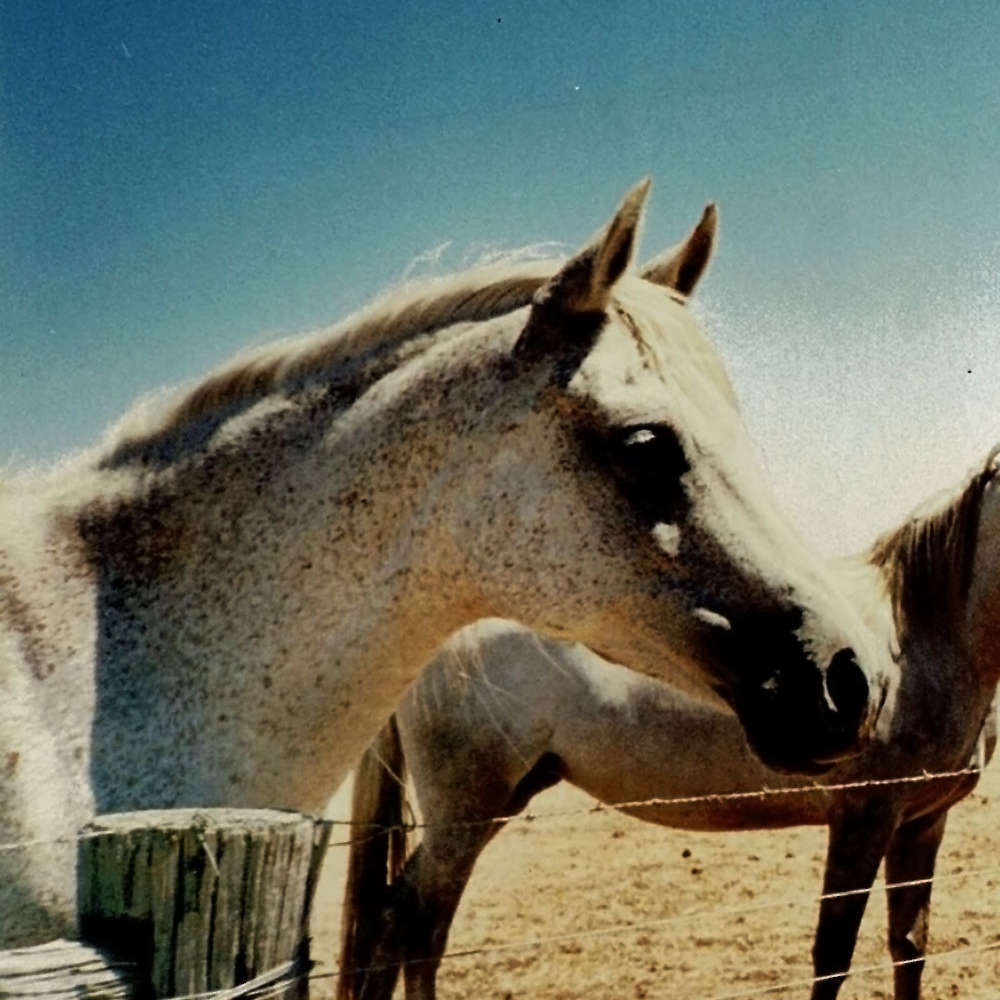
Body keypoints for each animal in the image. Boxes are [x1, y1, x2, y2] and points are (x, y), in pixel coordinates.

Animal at [338, 448, 1000, 1000]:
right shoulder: (862, 818)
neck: (915, 642)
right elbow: (832, 957)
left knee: (405, 924)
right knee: (417, 926)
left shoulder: (921, 823)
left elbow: (908, 947)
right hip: (464, 813)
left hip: (498, 801)